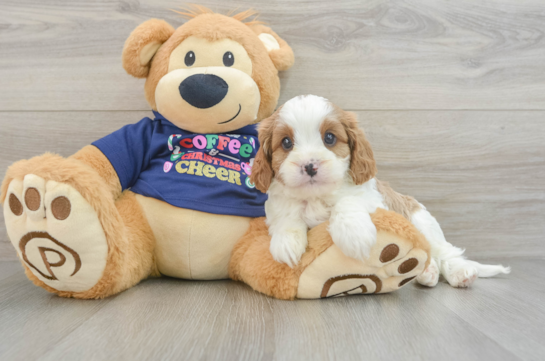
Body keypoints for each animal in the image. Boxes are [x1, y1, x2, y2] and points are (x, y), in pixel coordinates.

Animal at [252, 95, 510, 286]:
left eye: (329, 138)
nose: (309, 165)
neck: (317, 196)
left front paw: (354, 234)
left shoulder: (373, 199)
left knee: (444, 250)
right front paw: (286, 243)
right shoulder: (279, 204)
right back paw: (427, 272)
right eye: (286, 142)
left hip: (422, 221)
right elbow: (287, 214)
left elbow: (347, 201)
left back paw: (459, 272)